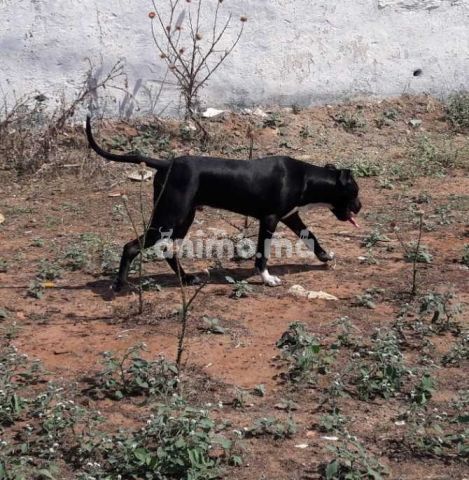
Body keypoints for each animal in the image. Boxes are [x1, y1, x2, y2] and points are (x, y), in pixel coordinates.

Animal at [86, 117, 360, 288]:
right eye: (355, 191)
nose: (360, 207)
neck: (304, 178)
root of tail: (167, 163)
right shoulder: (270, 219)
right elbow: (263, 254)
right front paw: (267, 278)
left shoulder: (291, 216)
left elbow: (311, 237)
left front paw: (324, 256)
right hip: (170, 217)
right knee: (131, 247)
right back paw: (120, 284)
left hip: (182, 220)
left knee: (168, 251)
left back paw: (186, 279)